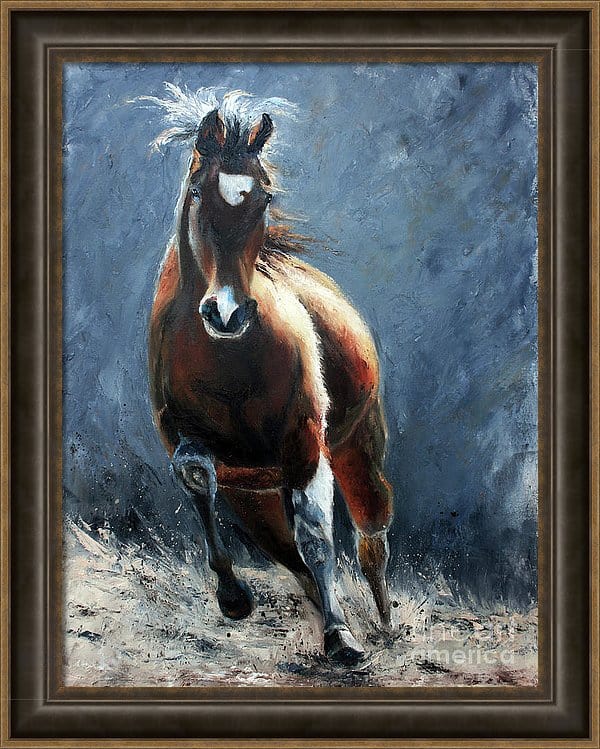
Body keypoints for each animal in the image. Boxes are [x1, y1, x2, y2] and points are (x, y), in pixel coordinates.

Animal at [146, 88, 393, 664]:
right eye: (197, 190)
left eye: (262, 198)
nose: (227, 312)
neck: (226, 358)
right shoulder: (184, 437)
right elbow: (197, 477)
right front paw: (234, 597)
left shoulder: (304, 443)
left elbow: (317, 538)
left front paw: (343, 637)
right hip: (254, 490)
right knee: (283, 548)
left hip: (356, 447)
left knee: (371, 533)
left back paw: (383, 622)